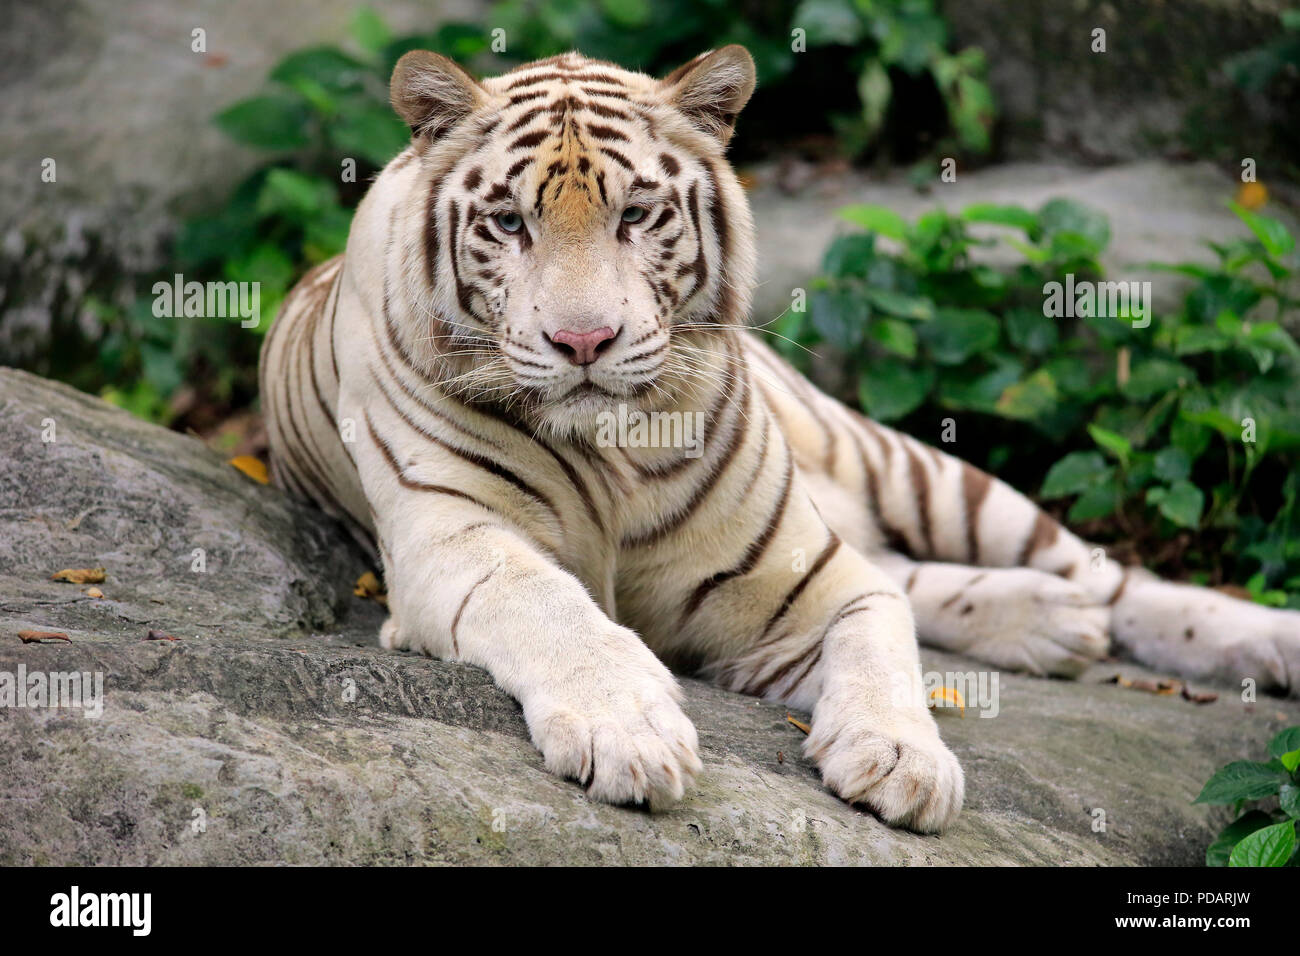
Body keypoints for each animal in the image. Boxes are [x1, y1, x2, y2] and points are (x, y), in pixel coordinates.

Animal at [259, 45, 1300, 833]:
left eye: (637, 214)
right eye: (509, 222)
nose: (584, 341)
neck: (611, 454)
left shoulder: (816, 578)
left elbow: (882, 640)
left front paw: (901, 760)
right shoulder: (452, 547)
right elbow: (554, 609)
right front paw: (630, 731)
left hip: (912, 468)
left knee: (1106, 577)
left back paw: (1253, 640)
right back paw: (1052, 623)